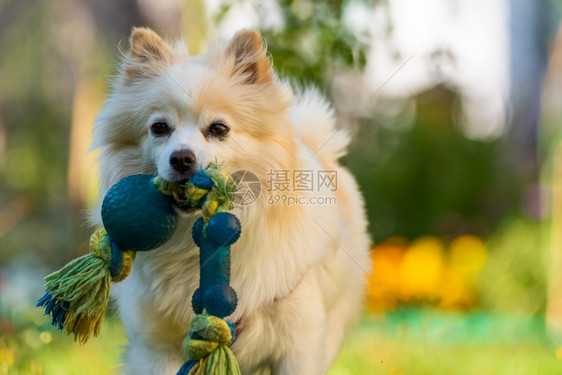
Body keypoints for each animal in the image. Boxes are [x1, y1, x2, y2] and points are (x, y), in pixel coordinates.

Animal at [90, 27, 370, 374]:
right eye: (159, 128)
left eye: (218, 129)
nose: (181, 158)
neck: (194, 241)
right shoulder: (156, 349)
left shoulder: (298, 347)